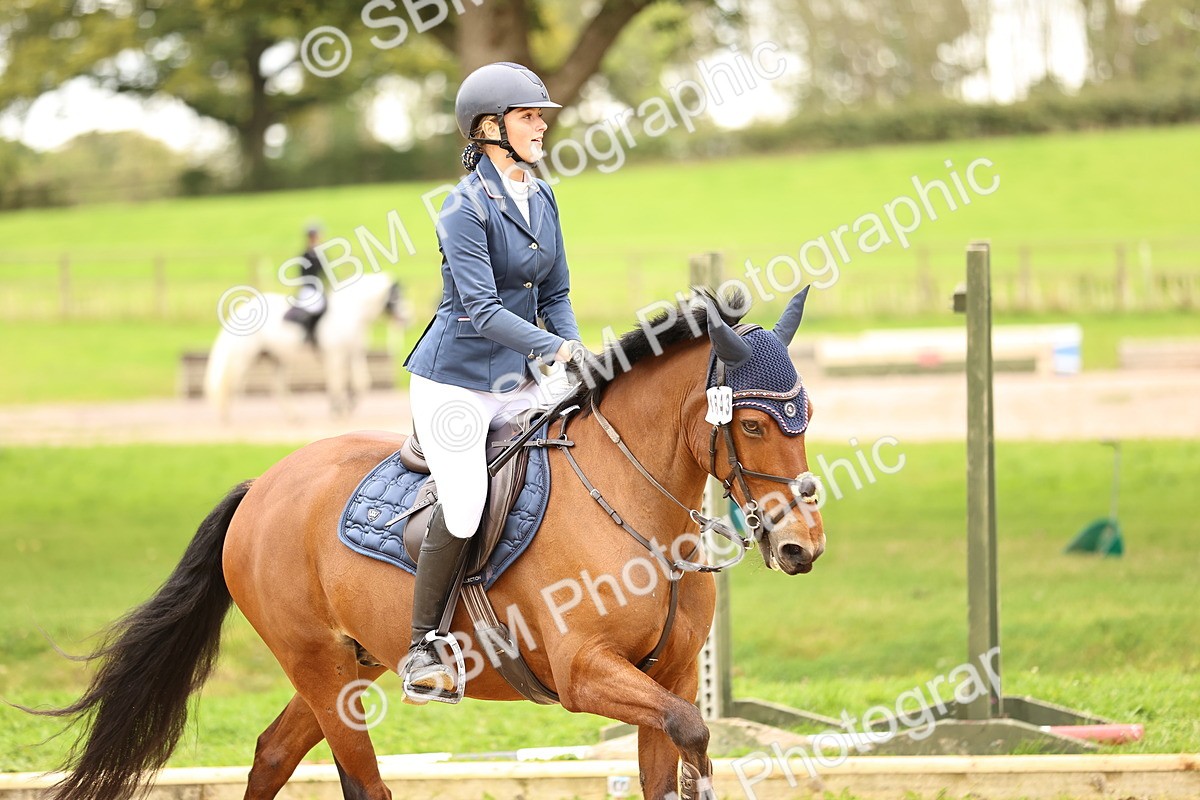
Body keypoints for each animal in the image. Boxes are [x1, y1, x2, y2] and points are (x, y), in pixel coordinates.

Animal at [34, 288, 824, 800]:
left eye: (806, 416)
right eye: (753, 425)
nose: (802, 549)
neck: (637, 509)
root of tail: (265, 485)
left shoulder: (674, 676)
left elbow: (680, 752)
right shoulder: (587, 673)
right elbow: (693, 733)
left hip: (350, 663)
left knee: (272, 754)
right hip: (320, 667)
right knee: (361, 782)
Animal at [204, 271, 408, 421]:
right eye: (396, 297)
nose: (407, 318)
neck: (351, 313)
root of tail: (242, 310)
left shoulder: (354, 354)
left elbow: (362, 382)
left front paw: (349, 405)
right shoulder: (335, 356)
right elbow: (336, 382)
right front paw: (337, 410)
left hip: (276, 359)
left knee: (276, 387)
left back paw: (294, 416)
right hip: (244, 358)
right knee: (231, 383)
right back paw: (225, 415)